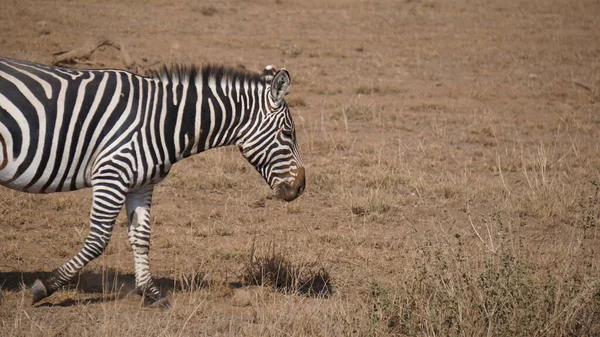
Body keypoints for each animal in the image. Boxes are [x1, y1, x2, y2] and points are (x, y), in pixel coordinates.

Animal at [0, 56, 304, 306]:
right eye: (288, 133)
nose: (301, 187)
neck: (162, 120)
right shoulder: (111, 173)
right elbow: (98, 240)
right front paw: (45, 287)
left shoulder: (140, 183)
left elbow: (141, 236)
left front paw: (150, 292)